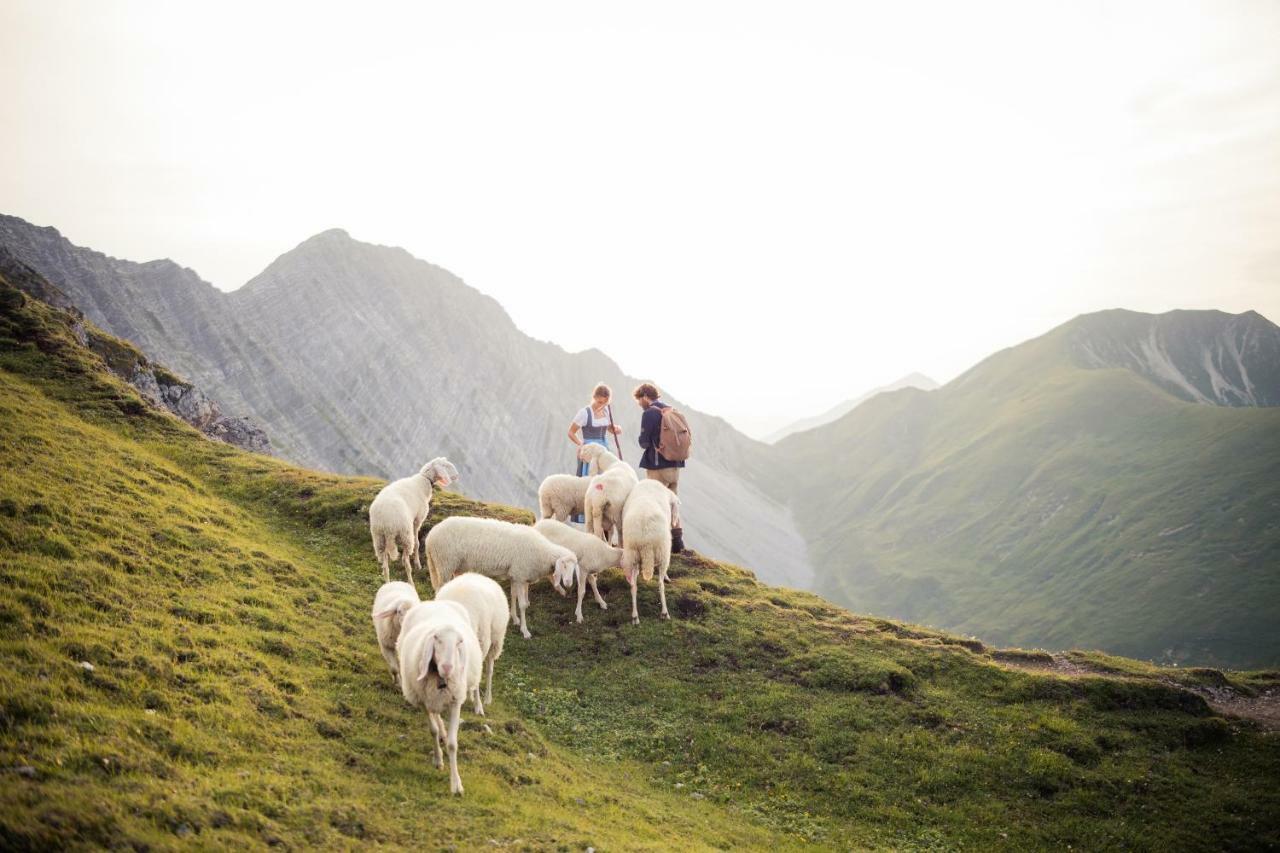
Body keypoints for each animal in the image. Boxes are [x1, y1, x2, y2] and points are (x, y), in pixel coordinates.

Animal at [394, 601, 481, 794]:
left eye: (459, 642)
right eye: (436, 638)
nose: (448, 667)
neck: (441, 679)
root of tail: (434, 602)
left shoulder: (456, 701)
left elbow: (452, 744)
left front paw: (456, 785)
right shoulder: (423, 700)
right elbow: (432, 730)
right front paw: (438, 759)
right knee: (436, 716)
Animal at [424, 514, 576, 635]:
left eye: (574, 567)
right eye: (564, 565)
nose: (569, 583)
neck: (543, 553)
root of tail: (430, 536)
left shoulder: (516, 575)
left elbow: (513, 596)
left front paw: (515, 618)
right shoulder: (520, 575)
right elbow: (522, 605)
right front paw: (525, 630)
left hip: (455, 566)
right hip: (444, 564)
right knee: (440, 589)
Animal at [616, 479, 680, 625]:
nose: (675, 524)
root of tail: (646, 542)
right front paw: (667, 577)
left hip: (632, 555)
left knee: (633, 586)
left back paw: (635, 616)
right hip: (663, 552)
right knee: (660, 584)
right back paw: (664, 612)